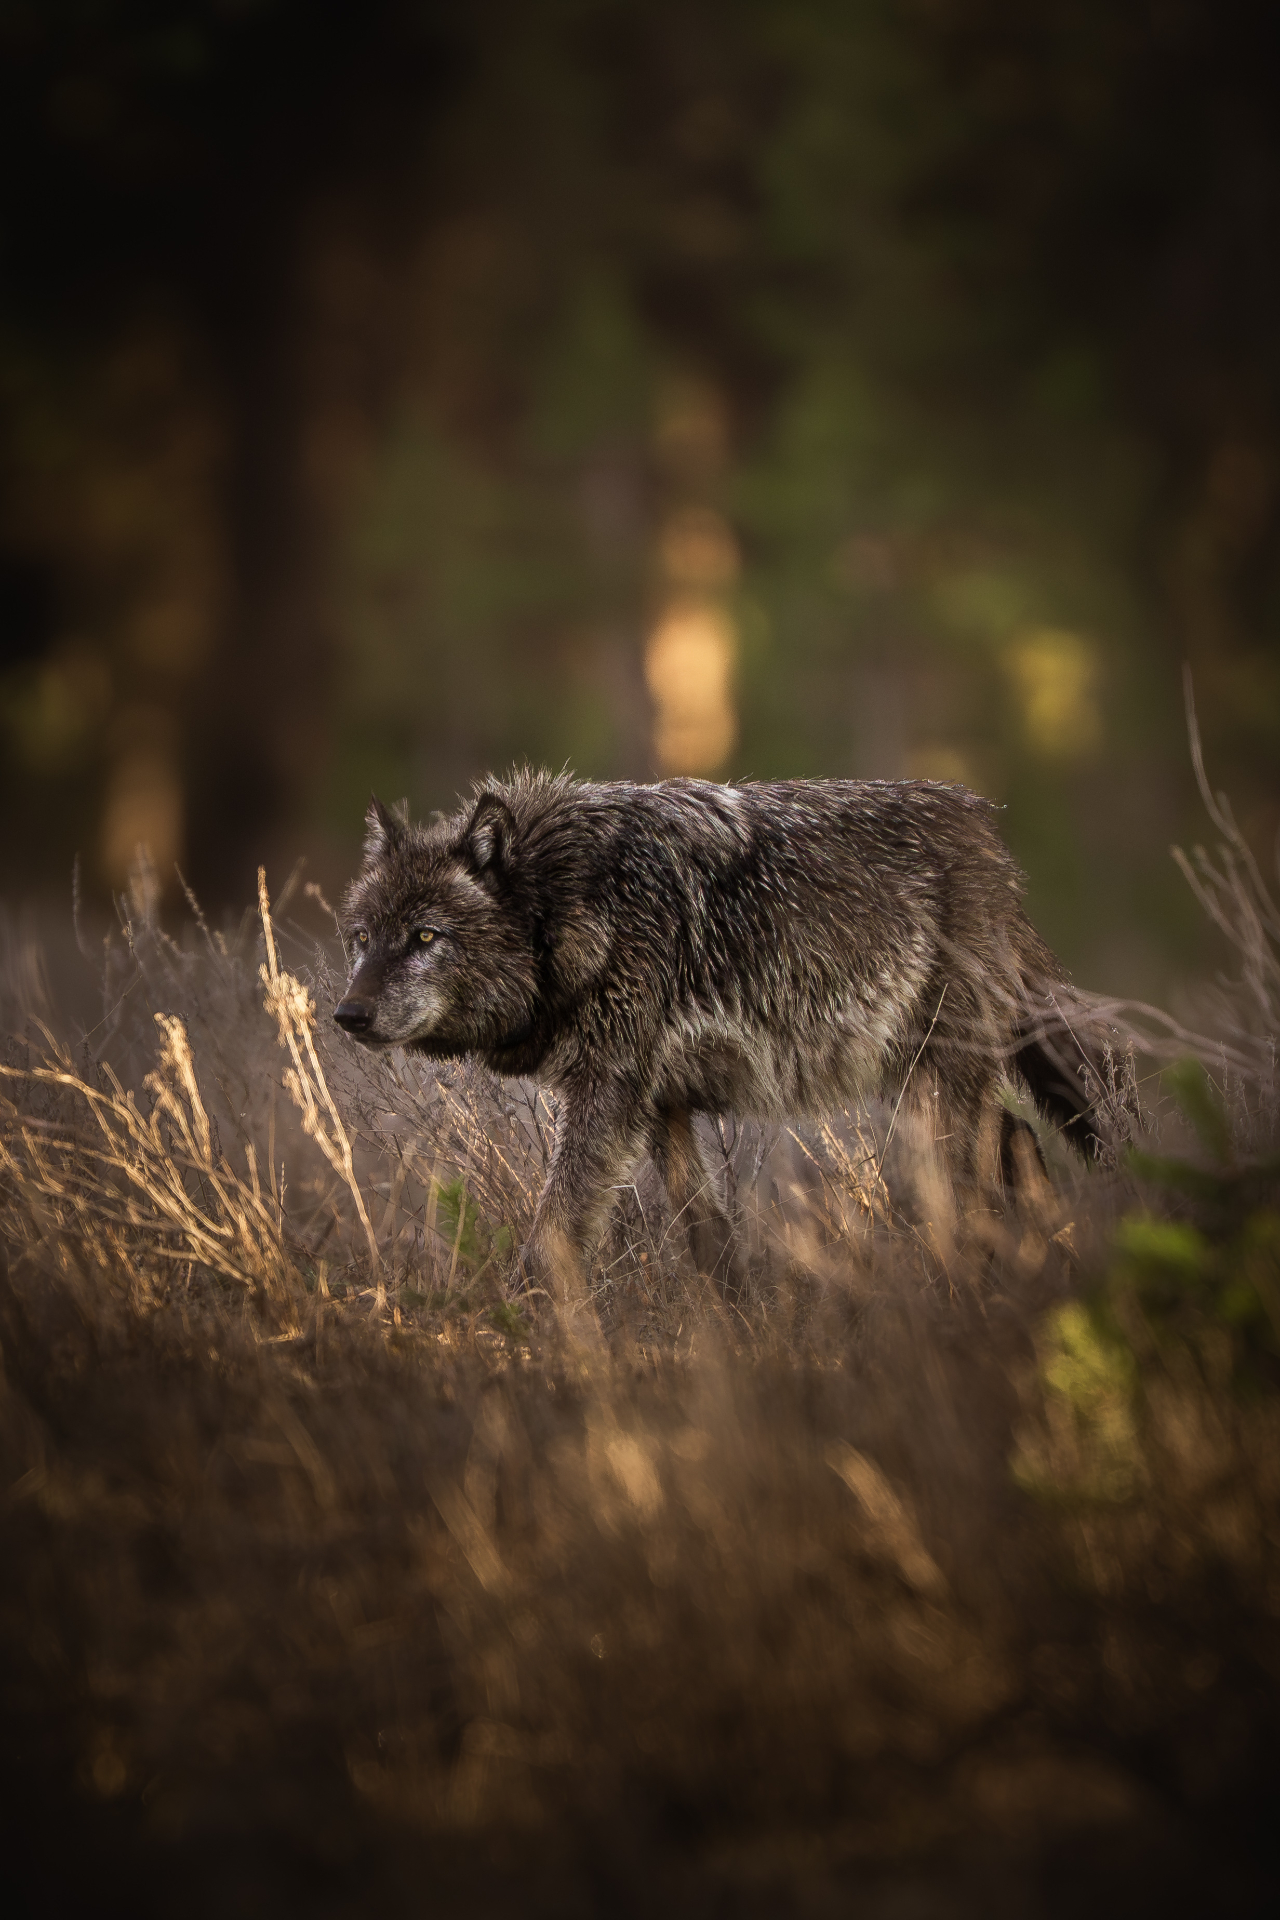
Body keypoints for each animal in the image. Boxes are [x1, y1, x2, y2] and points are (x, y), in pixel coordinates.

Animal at [335, 771, 1102, 1292]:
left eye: (425, 936)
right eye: (363, 939)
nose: (347, 1016)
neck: (568, 904)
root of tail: (986, 832)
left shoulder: (607, 1099)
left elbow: (552, 1237)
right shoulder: (662, 1108)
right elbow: (709, 1241)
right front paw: (738, 1336)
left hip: (939, 1087)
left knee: (981, 1182)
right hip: (915, 1086)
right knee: (1019, 1140)